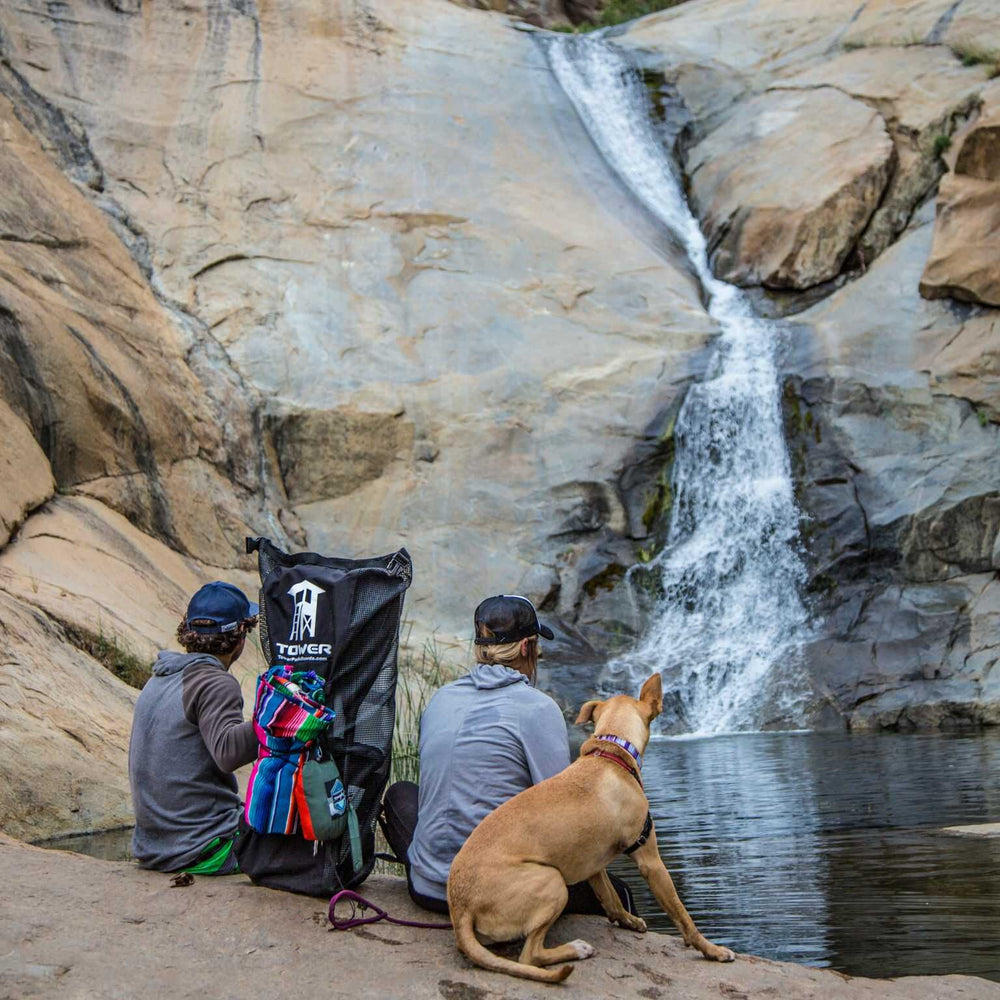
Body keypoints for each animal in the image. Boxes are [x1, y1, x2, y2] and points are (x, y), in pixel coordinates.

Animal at [446, 672, 736, 984]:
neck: (612, 751)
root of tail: (460, 909)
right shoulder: (650, 861)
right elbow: (682, 915)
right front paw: (711, 950)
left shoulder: (593, 862)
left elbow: (611, 898)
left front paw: (628, 920)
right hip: (553, 882)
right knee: (530, 955)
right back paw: (576, 949)